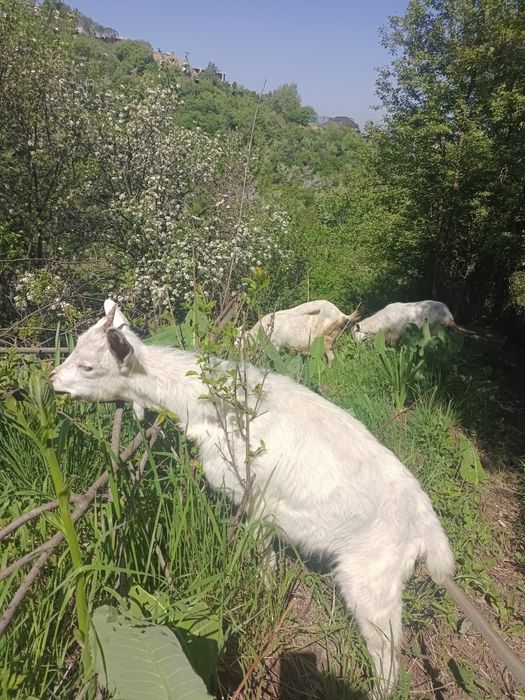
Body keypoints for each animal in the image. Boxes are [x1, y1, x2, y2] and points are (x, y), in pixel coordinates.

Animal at [50, 301, 525, 697]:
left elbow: (264, 560)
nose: (53, 382)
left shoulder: (257, 498)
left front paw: (264, 590)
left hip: (372, 583)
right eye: (74, 349)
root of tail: (427, 527)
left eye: (89, 366)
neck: (213, 406)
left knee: (388, 656)